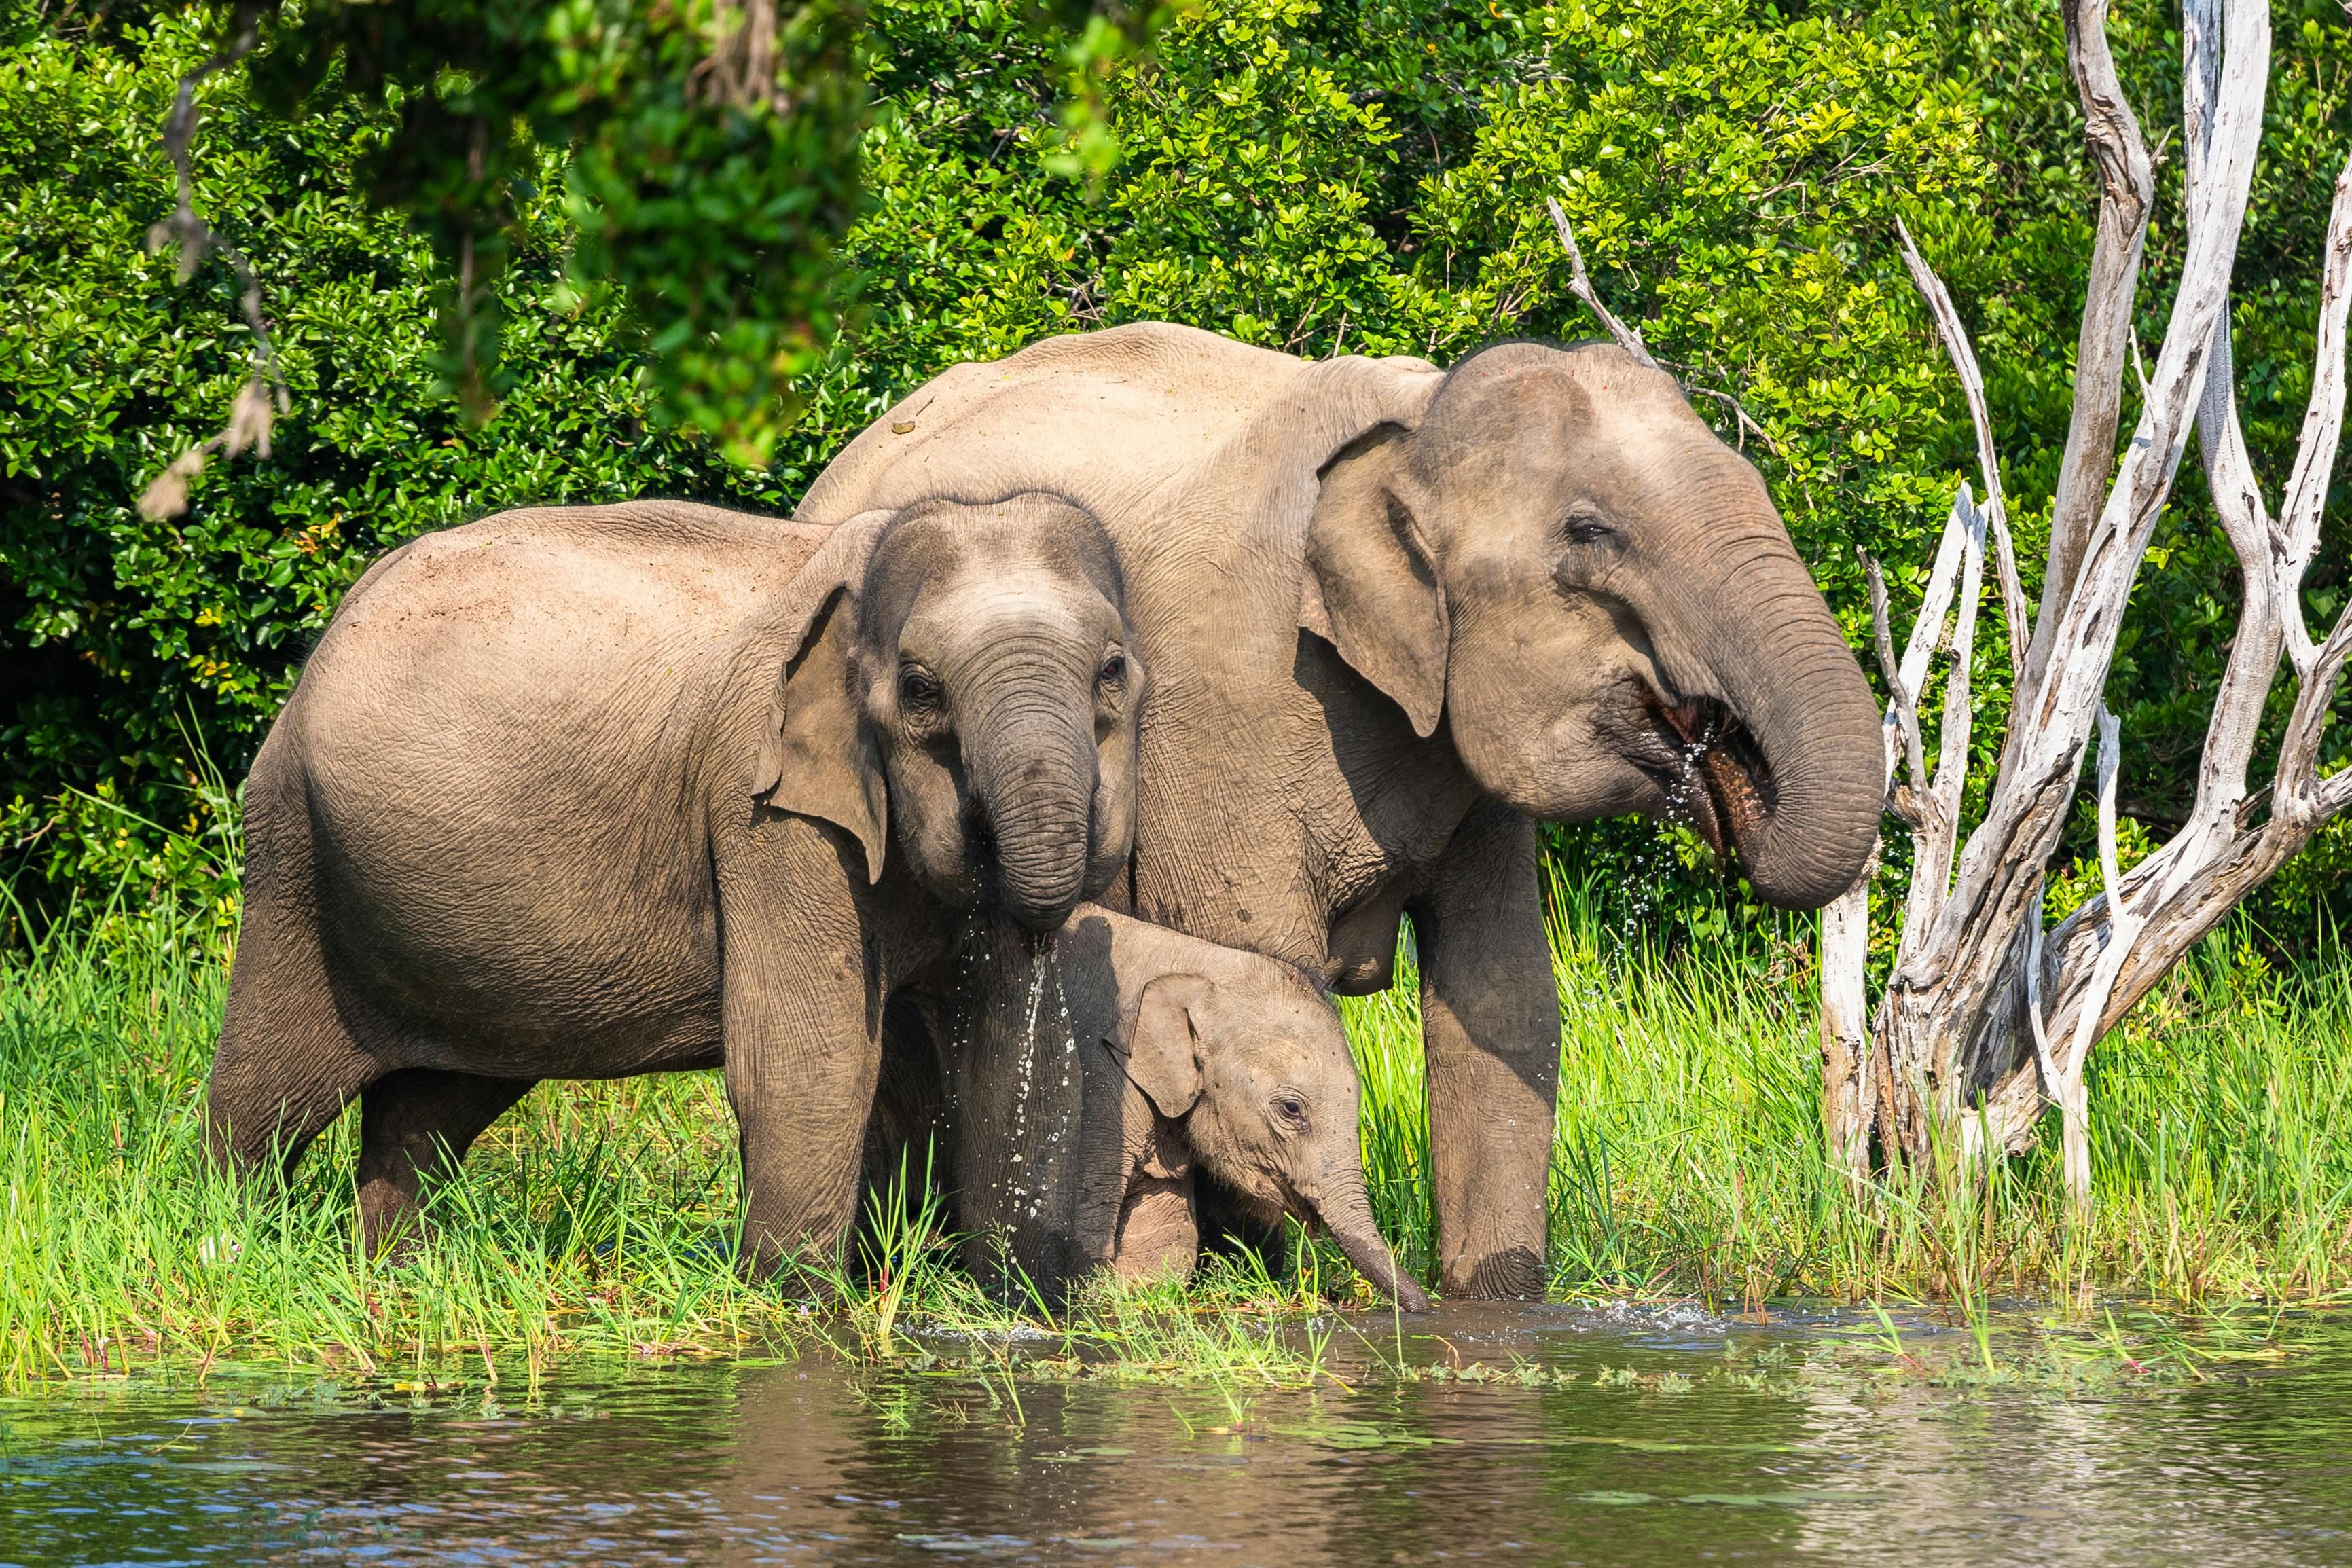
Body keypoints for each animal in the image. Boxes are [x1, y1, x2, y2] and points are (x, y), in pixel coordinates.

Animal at [206, 496, 1143, 1269]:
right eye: (919, 688)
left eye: (1113, 673)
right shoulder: (760, 808)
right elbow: (807, 1062)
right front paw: (796, 1312)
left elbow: (1005, 1056)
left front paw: (1008, 1309)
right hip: (294, 854)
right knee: (265, 1101)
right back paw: (236, 1249)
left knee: (431, 1110)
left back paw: (400, 1273)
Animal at [884, 902, 1430, 1307]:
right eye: (1291, 1110)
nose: (1427, 1309)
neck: (1199, 963)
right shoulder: (1096, 1079)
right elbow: (1088, 1227)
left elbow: (1166, 1239)